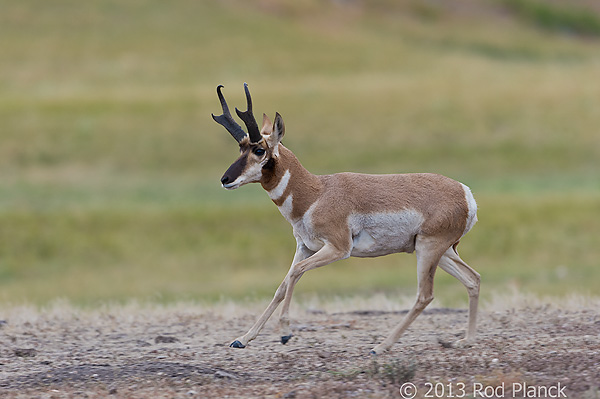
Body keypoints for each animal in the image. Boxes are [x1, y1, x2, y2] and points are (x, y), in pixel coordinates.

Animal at [213, 83, 480, 354]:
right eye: (241, 148)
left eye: (259, 150)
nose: (225, 180)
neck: (317, 193)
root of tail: (465, 193)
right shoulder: (305, 248)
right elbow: (282, 286)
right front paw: (242, 339)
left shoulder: (338, 249)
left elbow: (296, 273)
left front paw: (286, 333)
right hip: (440, 252)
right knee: (473, 279)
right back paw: (466, 340)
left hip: (428, 249)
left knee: (425, 295)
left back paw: (381, 346)